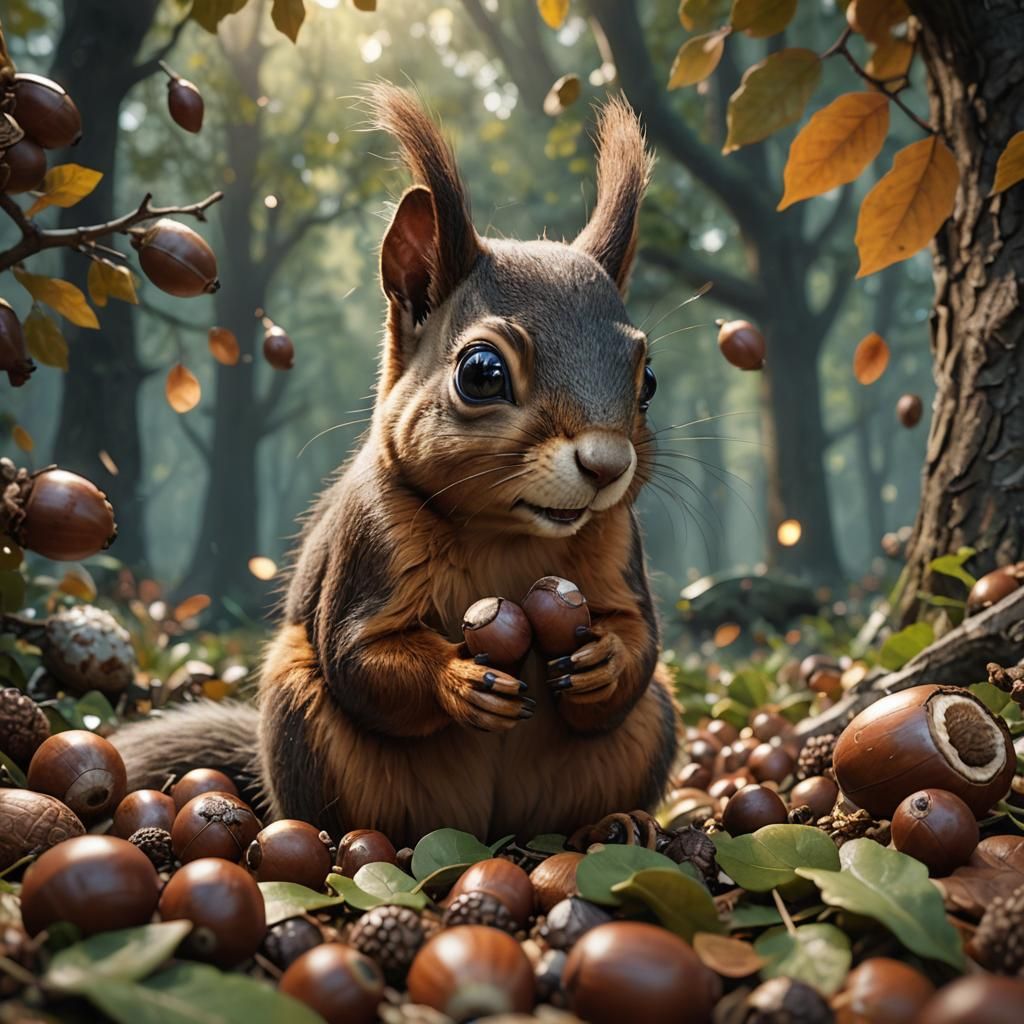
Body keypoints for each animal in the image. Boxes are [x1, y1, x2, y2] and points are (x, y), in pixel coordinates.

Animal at [115, 85, 678, 849]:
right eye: (480, 373)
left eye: (647, 380)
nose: (607, 464)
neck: (507, 533)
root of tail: (493, 830)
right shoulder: (368, 541)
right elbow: (361, 656)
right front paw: (456, 681)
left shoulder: (620, 545)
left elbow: (639, 636)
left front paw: (605, 660)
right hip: (301, 716)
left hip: (648, 728)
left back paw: (613, 823)